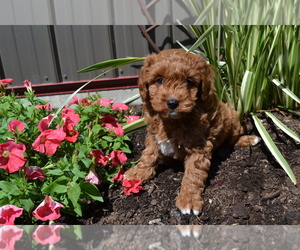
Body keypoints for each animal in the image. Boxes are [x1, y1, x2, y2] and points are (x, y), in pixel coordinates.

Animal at [125, 48, 258, 215]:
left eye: (188, 81)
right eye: (159, 80)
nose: (172, 103)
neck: (173, 120)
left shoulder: (199, 145)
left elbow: (193, 174)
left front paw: (188, 200)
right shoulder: (153, 135)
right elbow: (148, 156)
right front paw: (137, 173)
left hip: (231, 119)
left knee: (233, 138)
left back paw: (248, 139)